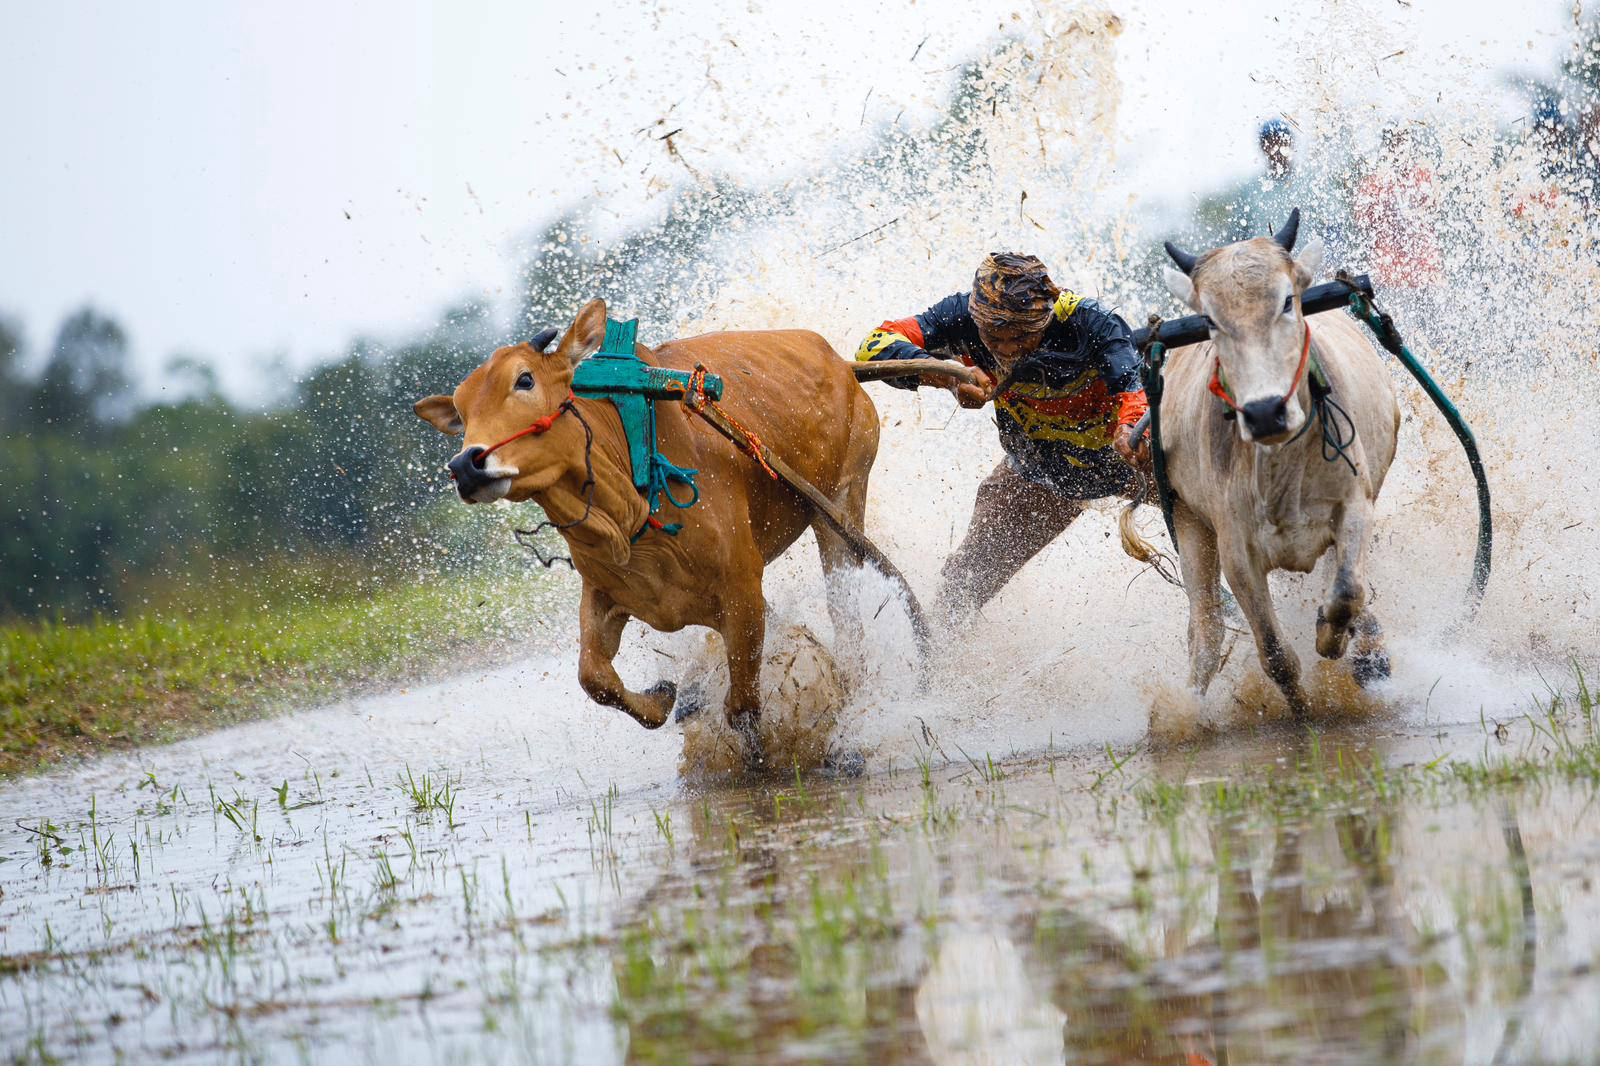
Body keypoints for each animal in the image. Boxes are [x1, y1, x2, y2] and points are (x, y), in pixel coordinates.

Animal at [412, 296, 883, 765]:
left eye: (524, 379)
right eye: (461, 412)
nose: (465, 465)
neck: (631, 509)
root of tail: (839, 363)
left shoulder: (743, 589)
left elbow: (743, 709)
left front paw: (761, 760)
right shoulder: (605, 592)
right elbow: (595, 679)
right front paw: (663, 696)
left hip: (841, 504)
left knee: (847, 615)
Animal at [1139, 208, 1401, 717]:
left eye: (1287, 302)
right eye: (1209, 319)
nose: (1263, 412)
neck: (1283, 464)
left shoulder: (1357, 506)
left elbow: (1347, 592)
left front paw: (1332, 640)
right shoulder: (1236, 553)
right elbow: (1275, 655)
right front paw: (1302, 712)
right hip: (1188, 521)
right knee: (1205, 630)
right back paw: (1187, 710)